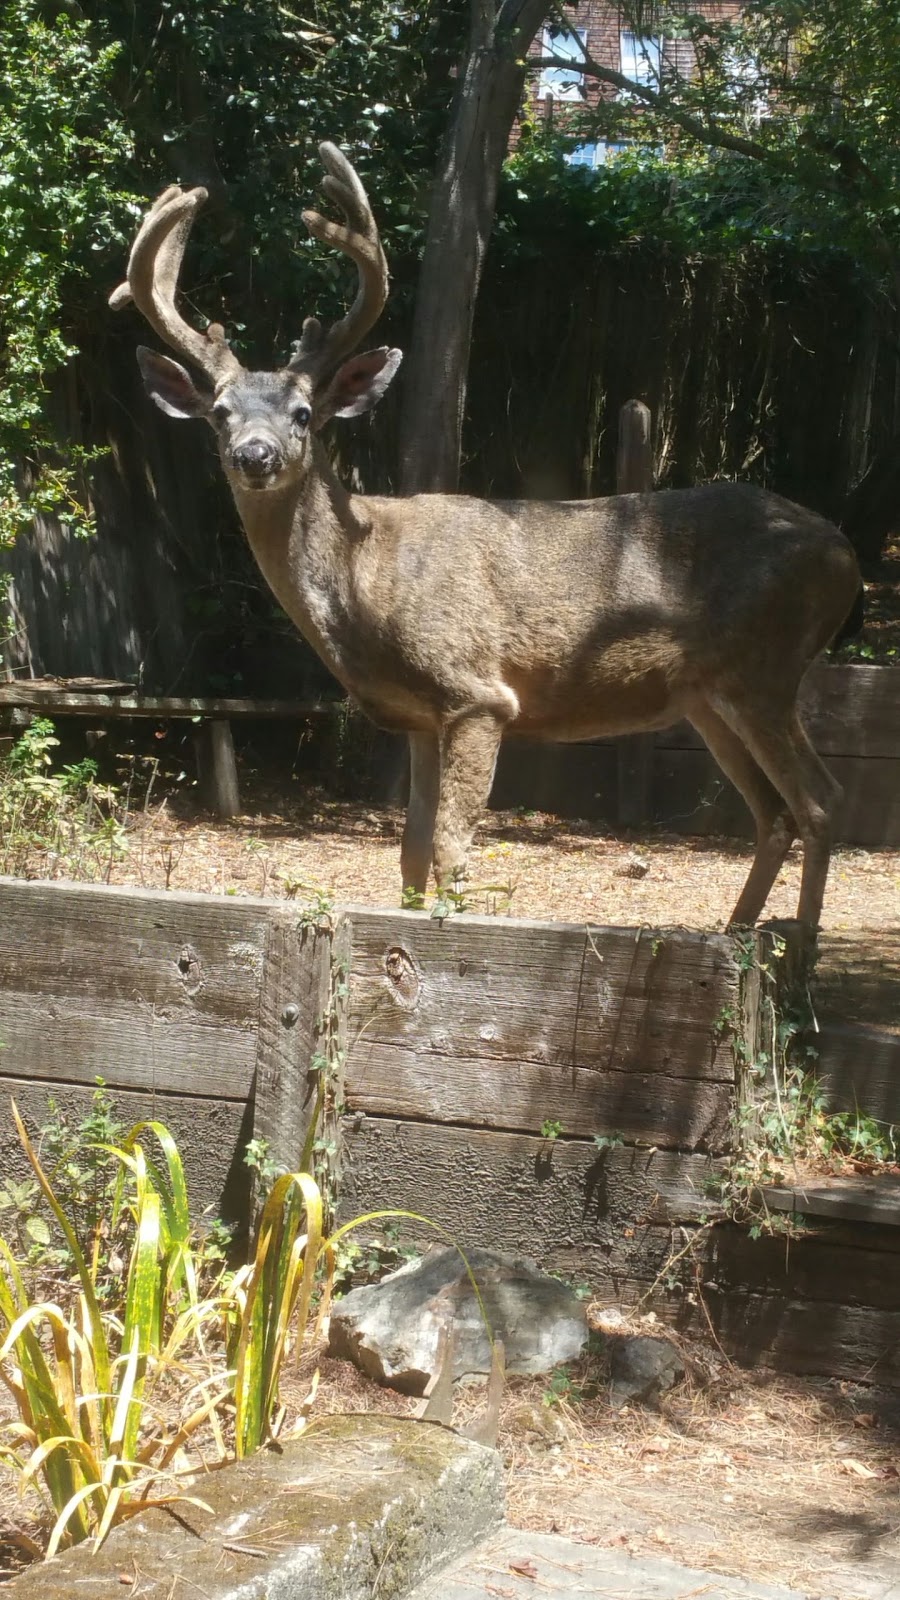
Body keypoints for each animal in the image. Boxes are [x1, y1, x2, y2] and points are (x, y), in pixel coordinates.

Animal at [110, 147, 851, 934]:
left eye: (304, 414)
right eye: (220, 412)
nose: (255, 453)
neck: (368, 578)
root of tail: (847, 557)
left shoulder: (477, 693)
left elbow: (449, 847)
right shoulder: (417, 717)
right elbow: (409, 850)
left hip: (765, 667)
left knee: (820, 801)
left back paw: (800, 946)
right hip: (709, 695)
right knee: (773, 812)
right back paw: (738, 934)